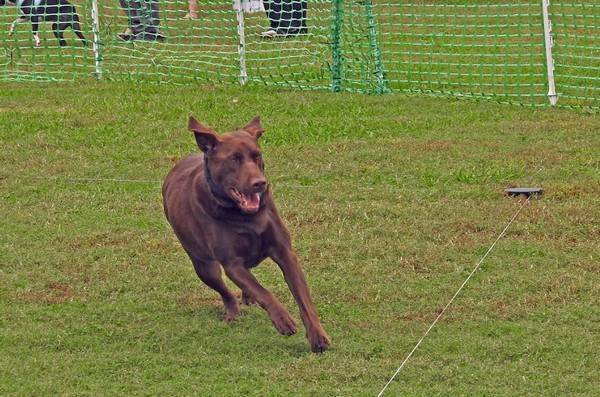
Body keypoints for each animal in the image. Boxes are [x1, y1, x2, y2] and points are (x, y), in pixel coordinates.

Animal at [164, 115, 330, 352]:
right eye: (234, 159)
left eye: (257, 155)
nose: (260, 183)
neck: (245, 216)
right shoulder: (232, 264)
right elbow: (263, 291)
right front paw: (283, 319)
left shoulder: (285, 252)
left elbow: (304, 299)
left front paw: (318, 336)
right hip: (202, 265)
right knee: (224, 291)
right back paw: (233, 312)